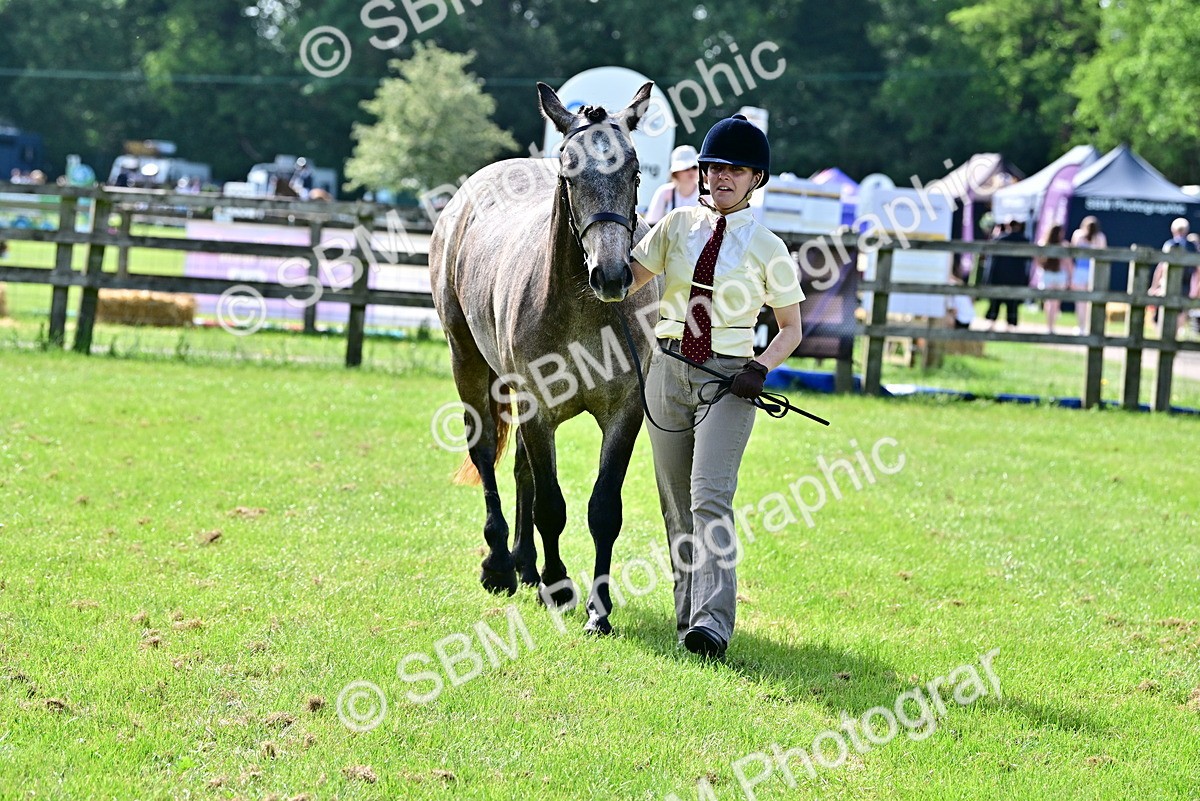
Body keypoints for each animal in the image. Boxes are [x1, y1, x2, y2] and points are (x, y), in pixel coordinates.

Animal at [428, 82, 659, 635]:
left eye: (635, 170)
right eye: (568, 171)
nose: (611, 275)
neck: (585, 308)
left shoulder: (625, 412)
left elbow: (603, 509)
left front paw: (599, 610)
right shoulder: (537, 408)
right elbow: (552, 506)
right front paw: (558, 586)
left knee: (520, 471)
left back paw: (525, 564)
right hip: (469, 365)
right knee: (486, 454)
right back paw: (499, 565)